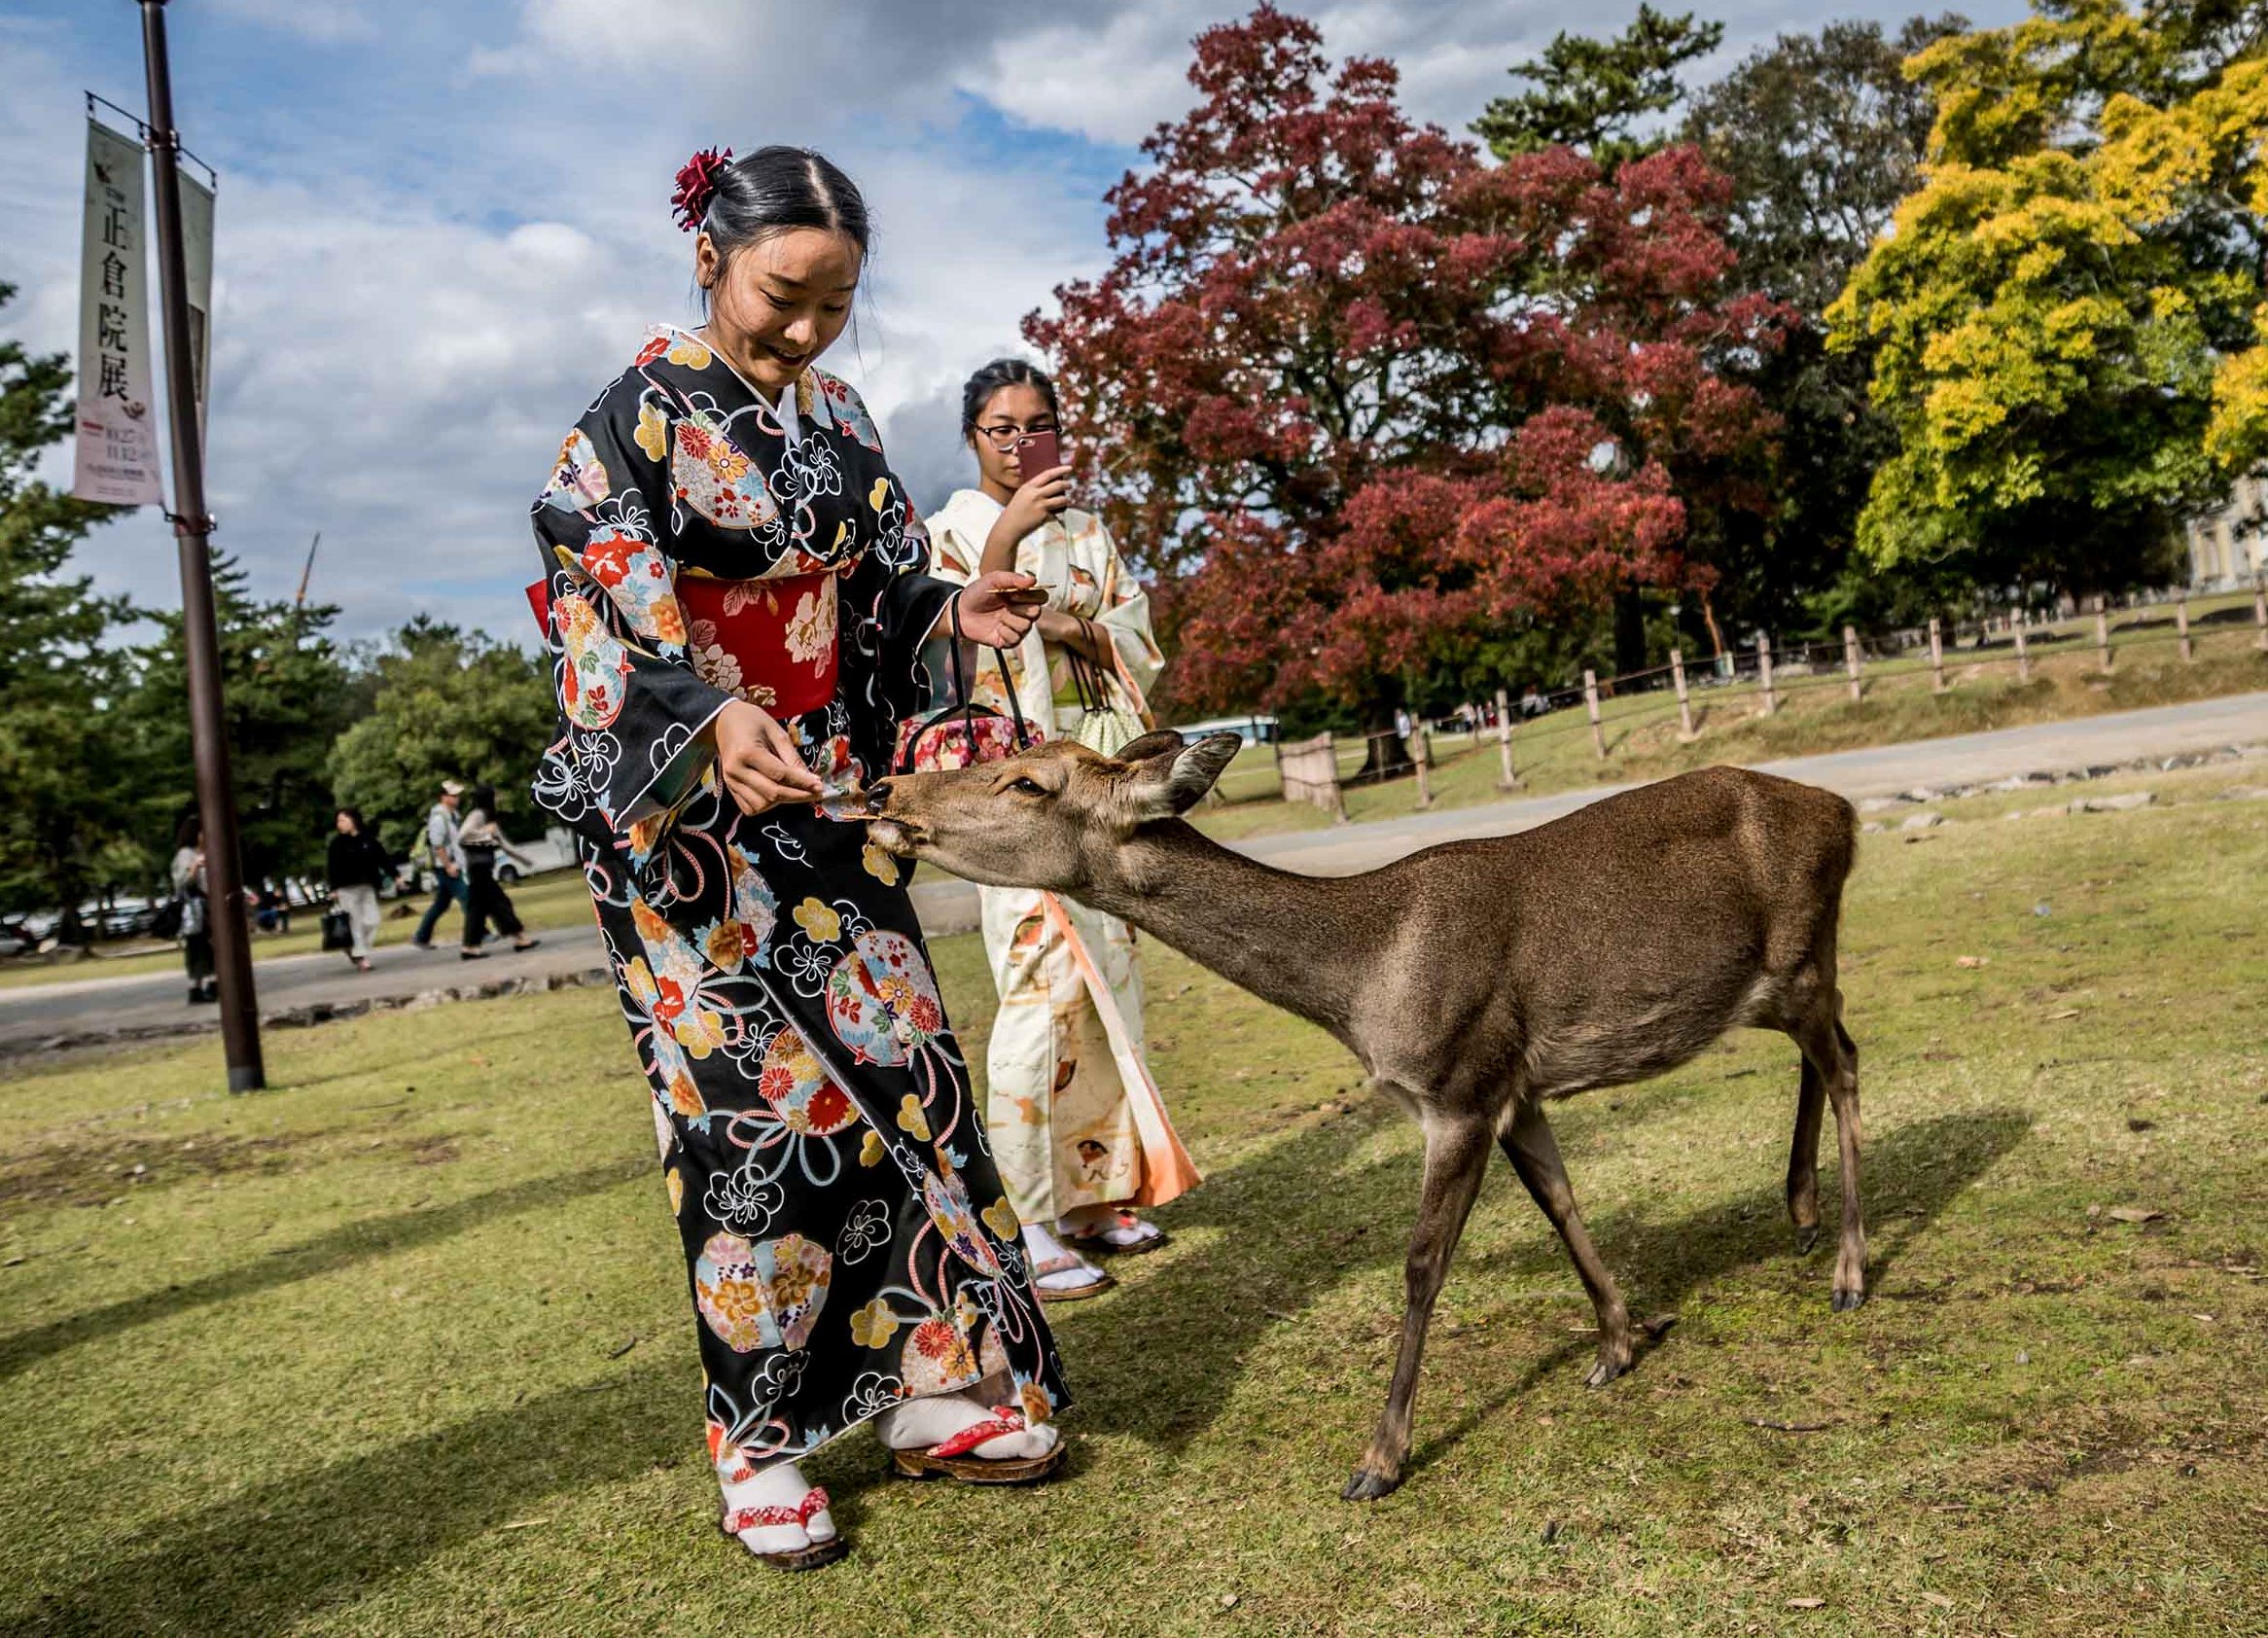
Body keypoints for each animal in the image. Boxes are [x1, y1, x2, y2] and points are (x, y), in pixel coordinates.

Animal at [857, 734, 1868, 1497]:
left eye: (1027, 780)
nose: (882, 787)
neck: (1362, 988)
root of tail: (1847, 814)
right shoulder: (1513, 1087)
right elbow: (1561, 1200)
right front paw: (1620, 1342)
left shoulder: (1458, 1085)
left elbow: (1421, 1265)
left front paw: (1378, 1460)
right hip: (1777, 982)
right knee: (1826, 1055)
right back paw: (1802, 1215)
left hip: (1802, 952)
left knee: (1849, 1063)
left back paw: (1851, 1270)